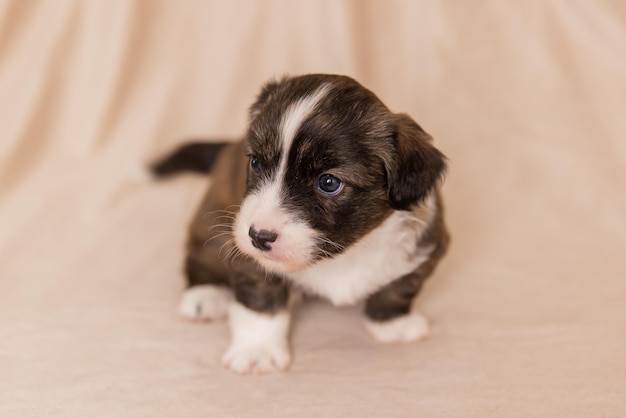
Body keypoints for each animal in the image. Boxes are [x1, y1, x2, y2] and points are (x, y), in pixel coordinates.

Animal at [152, 73, 448, 374]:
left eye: (328, 182)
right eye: (256, 163)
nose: (258, 237)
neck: (345, 252)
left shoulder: (429, 245)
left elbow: (400, 288)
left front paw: (394, 323)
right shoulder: (250, 259)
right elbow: (260, 302)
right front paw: (258, 350)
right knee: (200, 254)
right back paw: (206, 294)